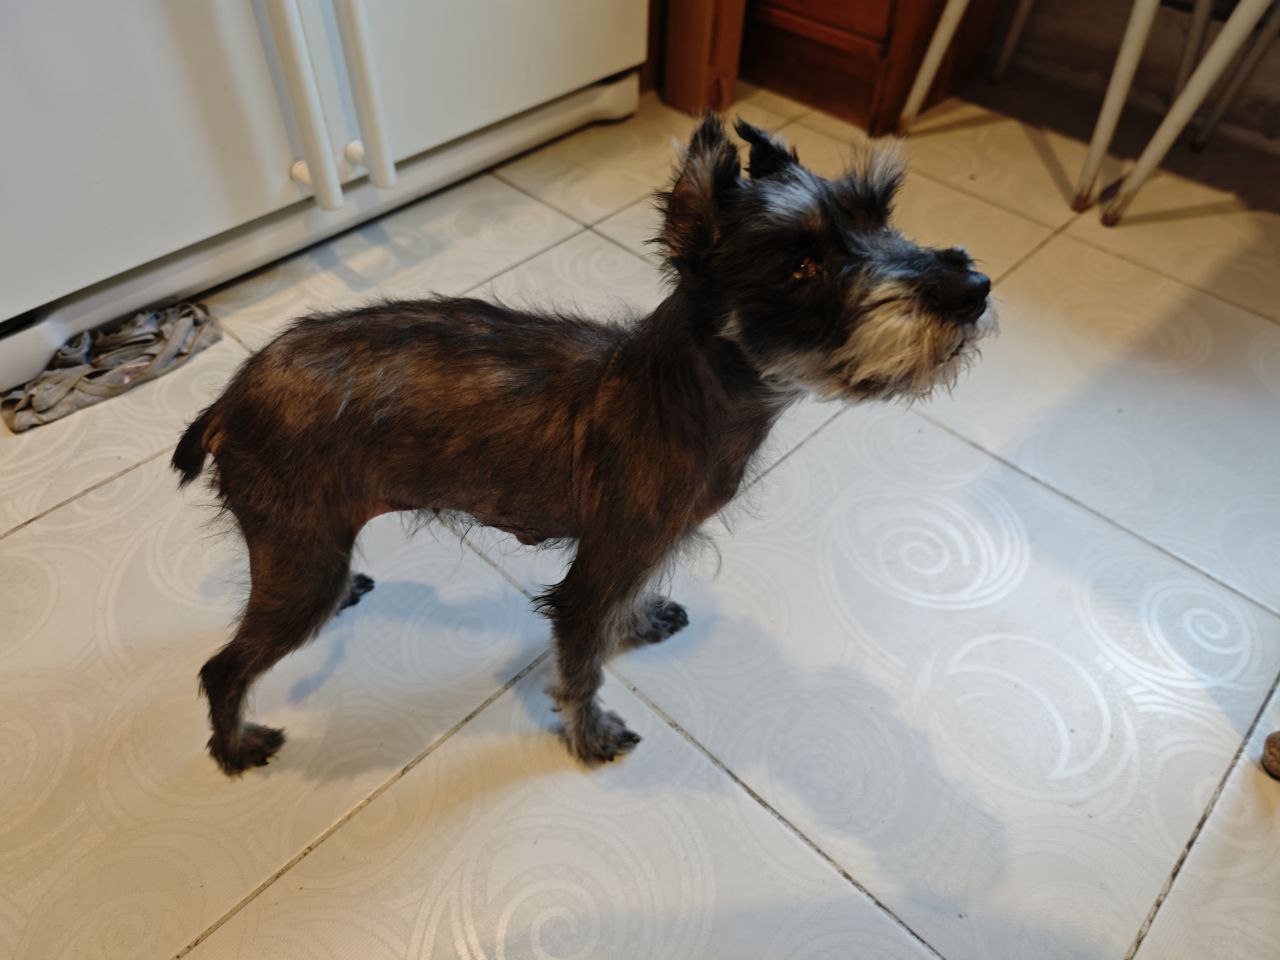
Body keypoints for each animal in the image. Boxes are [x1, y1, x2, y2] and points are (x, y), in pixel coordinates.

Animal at [173, 114, 994, 775]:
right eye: (802, 265)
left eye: (883, 218)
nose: (972, 287)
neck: (682, 393)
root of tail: (228, 400)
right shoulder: (595, 572)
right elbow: (582, 664)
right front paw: (590, 732)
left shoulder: (637, 551)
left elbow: (621, 610)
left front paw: (639, 622)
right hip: (300, 558)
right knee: (221, 669)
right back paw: (234, 747)